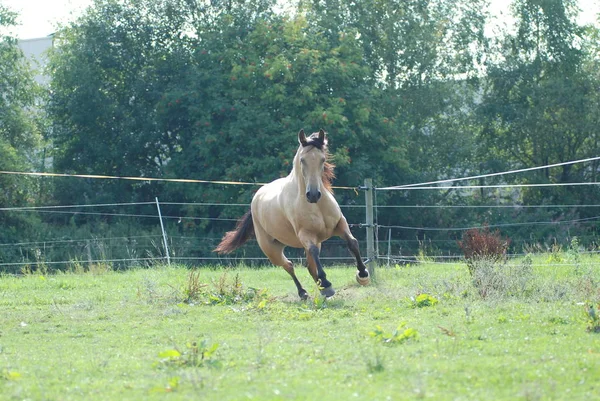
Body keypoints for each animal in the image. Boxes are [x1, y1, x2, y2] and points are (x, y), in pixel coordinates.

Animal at [213, 127, 368, 296]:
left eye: (322, 159)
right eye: (302, 160)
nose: (313, 195)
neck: (316, 206)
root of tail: (257, 197)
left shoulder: (339, 224)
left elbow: (352, 243)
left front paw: (363, 274)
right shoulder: (305, 235)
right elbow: (314, 252)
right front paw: (326, 283)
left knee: (309, 266)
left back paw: (320, 288)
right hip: (271, 250)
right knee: (288, 265)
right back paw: (304, 292)